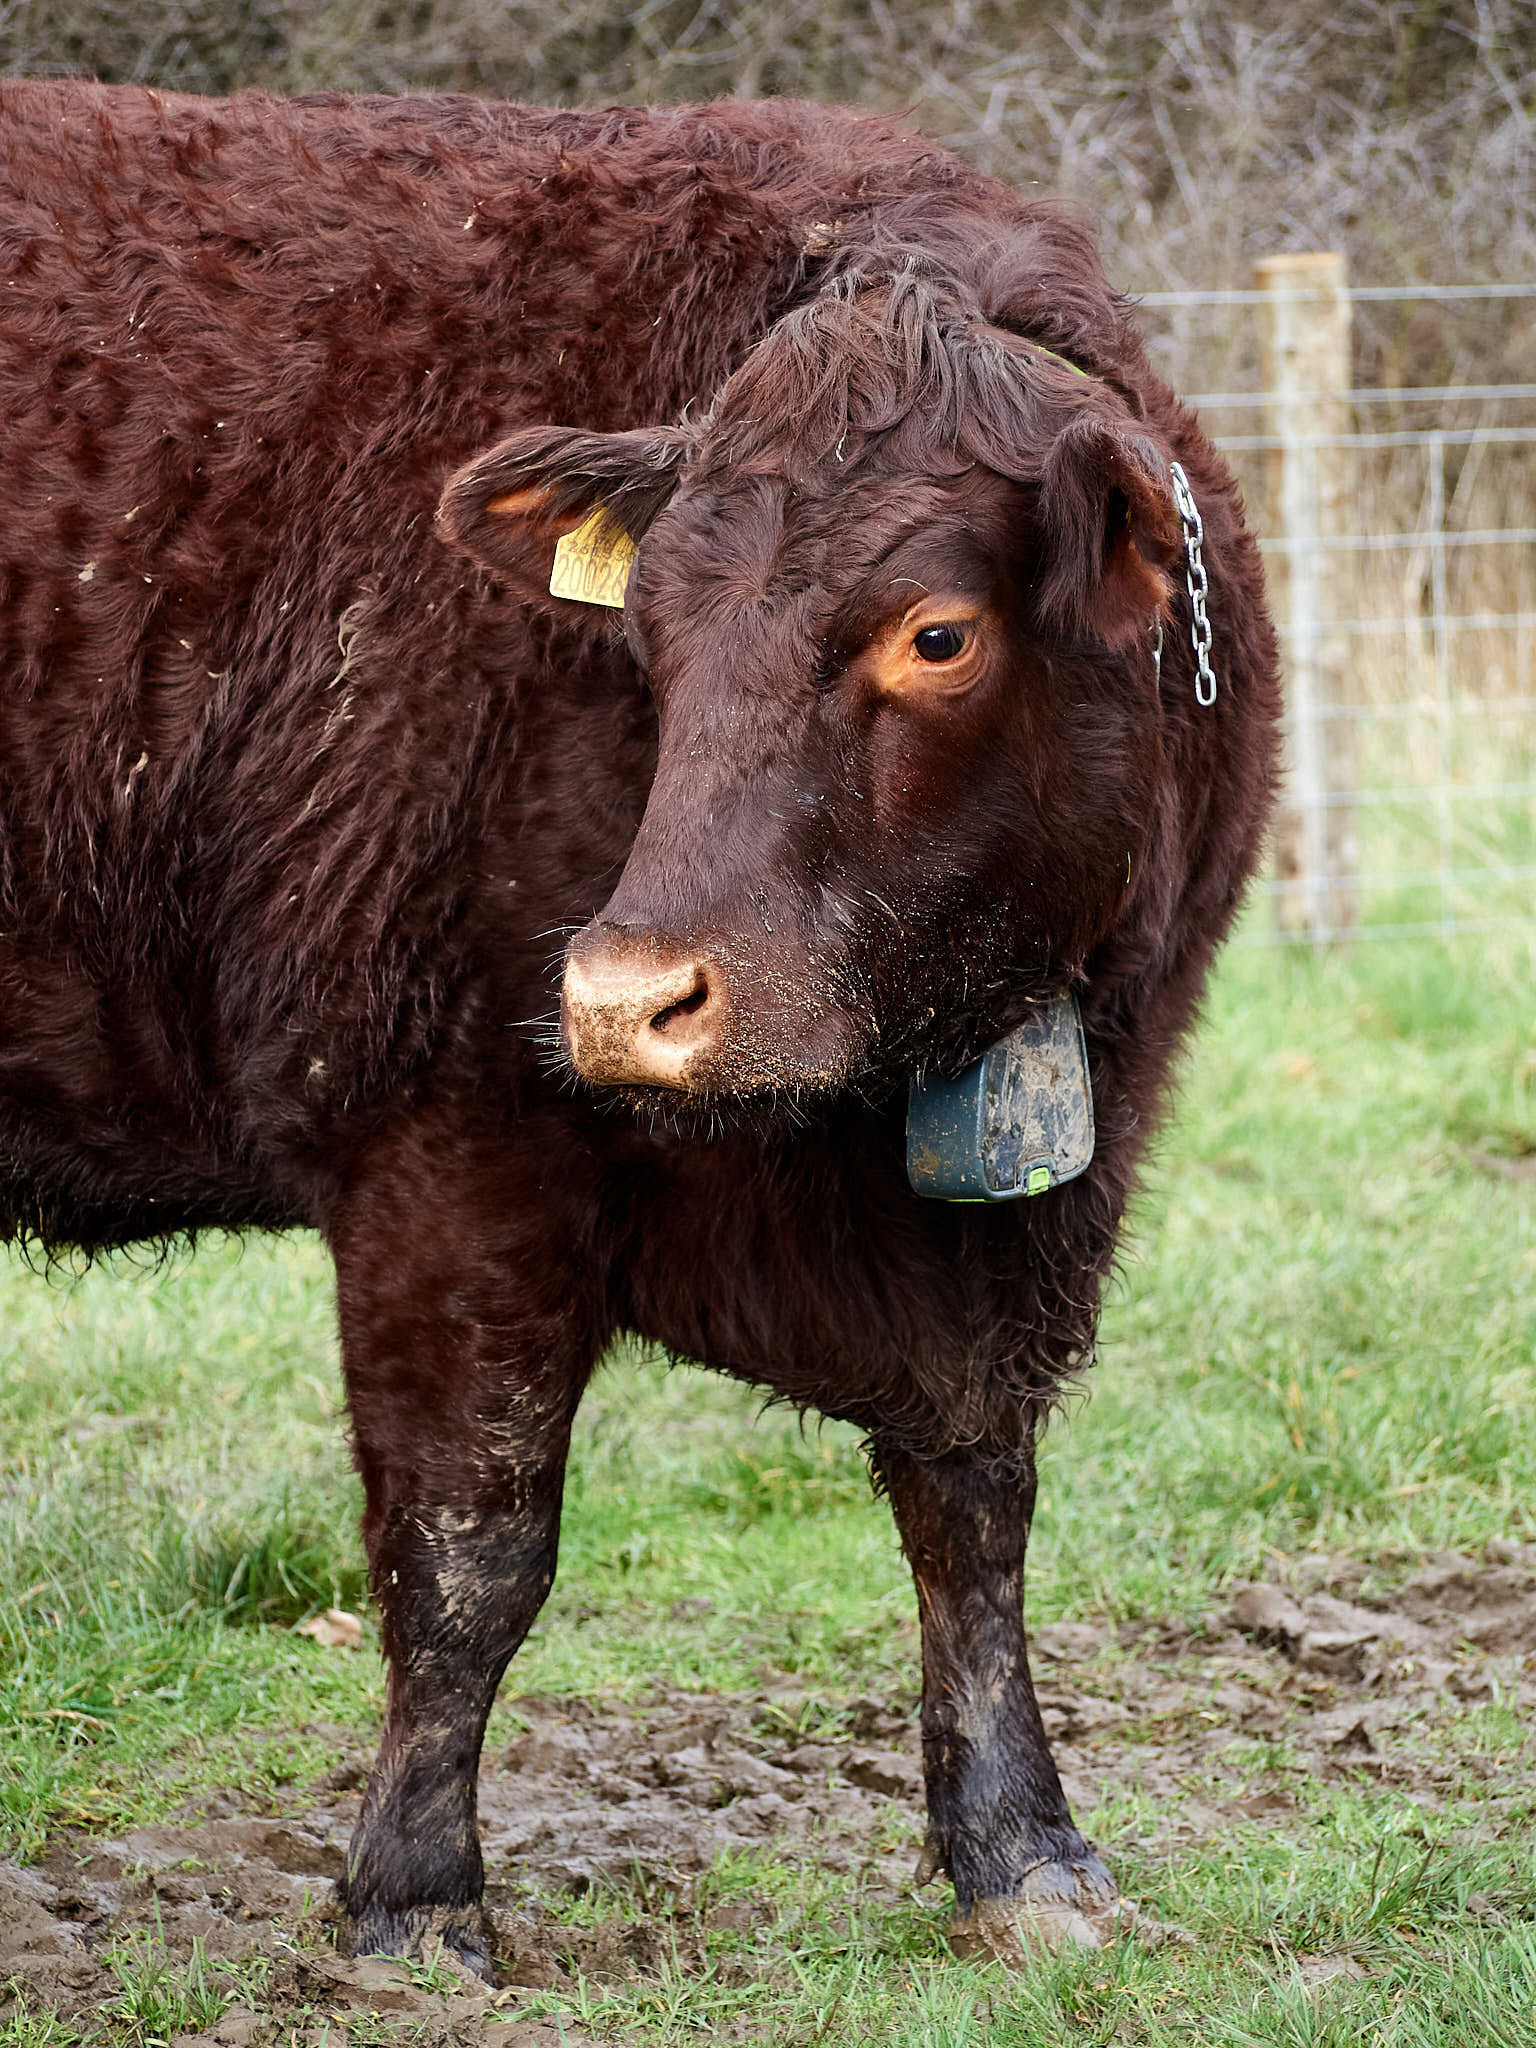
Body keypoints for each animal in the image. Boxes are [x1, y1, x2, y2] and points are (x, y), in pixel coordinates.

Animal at [0, 79, 1280, 1974]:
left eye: (937, 633)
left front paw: (1023, 1851)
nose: (622, 997)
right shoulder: (445, 1156)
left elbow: (976, 1509)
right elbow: (469, 1550)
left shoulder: (1036, 1200)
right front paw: (414, 1896)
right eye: (651, 641)